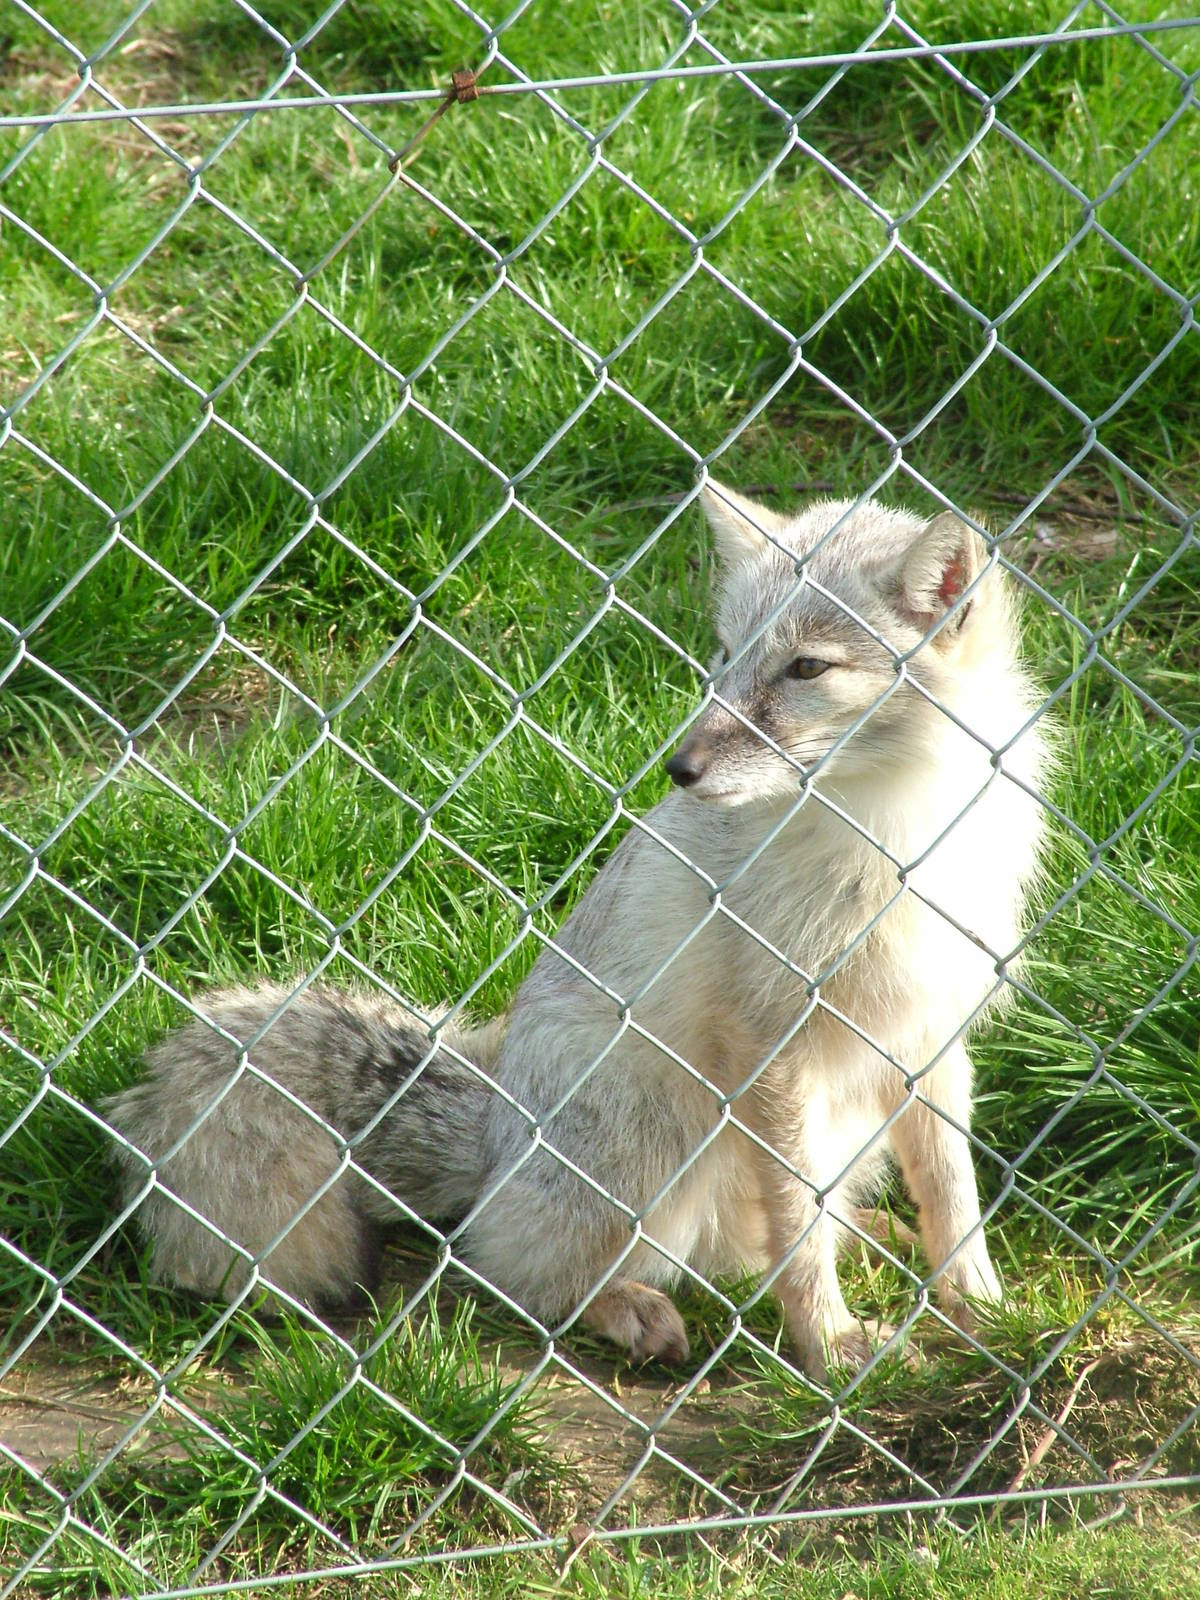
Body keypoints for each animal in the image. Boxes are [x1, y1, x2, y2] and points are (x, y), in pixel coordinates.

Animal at [105, 482, 1049, 1379]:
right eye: (724, 656)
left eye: (806, 667)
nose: (680, 769)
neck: (895, 841)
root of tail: (493, 1137)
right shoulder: (770, 1042)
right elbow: (799, 1220)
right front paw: (828, 1344)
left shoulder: (930, 1029)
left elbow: (951, 1190)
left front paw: (981, 1304)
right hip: (653, 1126)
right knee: (510, 1268)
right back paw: (628, 1308)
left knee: (737, 1251)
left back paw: (870, 1242)